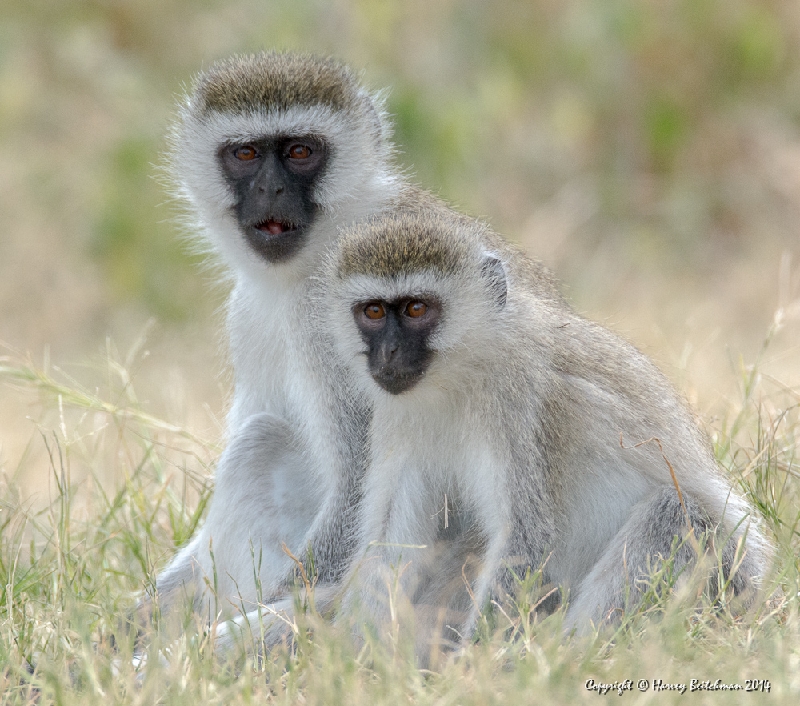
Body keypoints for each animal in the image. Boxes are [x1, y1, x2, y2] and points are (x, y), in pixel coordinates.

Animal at [147, 53, 404, 620]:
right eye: (245, 153)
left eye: (300, 151)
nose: (271, 190)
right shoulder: (246, 313)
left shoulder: (327, 323)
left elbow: (360, 484)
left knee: (261, 441)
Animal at [324, 198, 776, 656]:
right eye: (373, 311)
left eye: (416, 309)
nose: (388, 352)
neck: (459, 373)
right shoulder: (396, 416)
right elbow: (391, 544)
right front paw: (357, 659)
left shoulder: (520, 400)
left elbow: (524, 537)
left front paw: (475, 665)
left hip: (728, 580)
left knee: (677, 512)